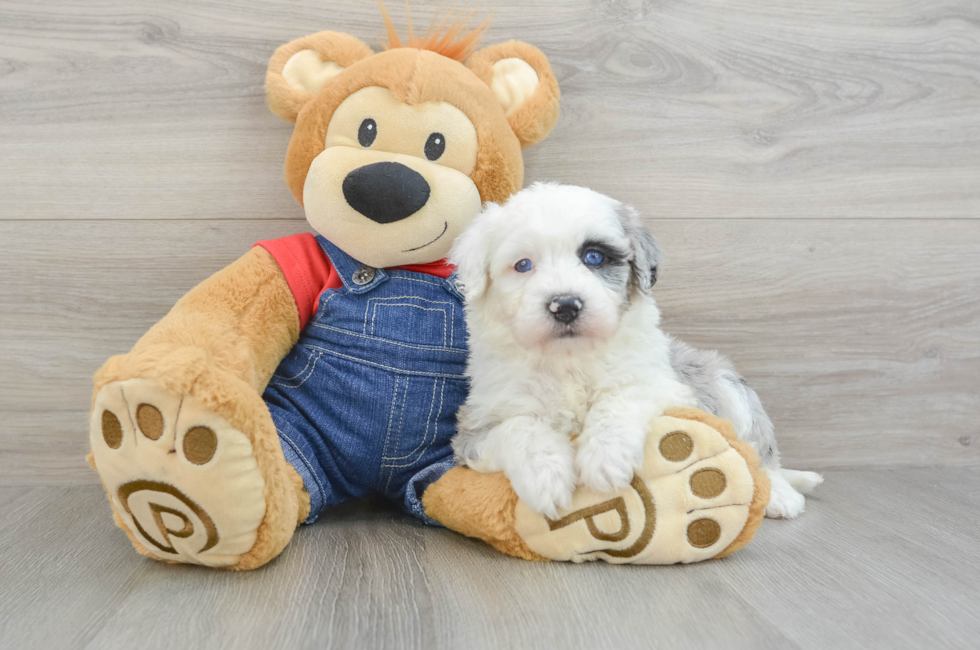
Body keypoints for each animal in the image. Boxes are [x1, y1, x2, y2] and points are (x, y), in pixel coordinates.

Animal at [452, 182, 820, 516]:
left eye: (594, 257)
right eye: (523, 265)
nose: (566, 305)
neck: (569, 360)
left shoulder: (667, 385)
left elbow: (622, 397)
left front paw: (605, 458)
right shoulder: (474, 427)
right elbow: (519, 428)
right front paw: (545, 477)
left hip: (726, 386)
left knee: (759, 452)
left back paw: (781, 496)